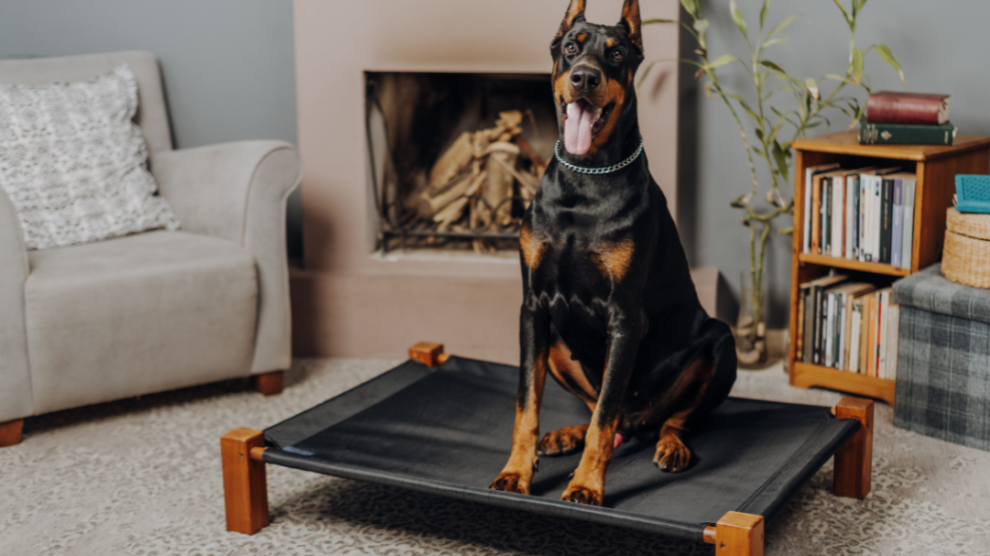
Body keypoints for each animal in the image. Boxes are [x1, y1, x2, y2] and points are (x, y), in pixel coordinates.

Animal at [488, 0, 736, 506]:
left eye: (617, 53)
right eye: (570, 47)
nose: (584, 77)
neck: (583, 181)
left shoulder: (624, 317)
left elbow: (604, 417)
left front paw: (586, 485)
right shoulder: (533, 309)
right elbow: (527, 404)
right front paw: (516, 471)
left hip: (721, 344)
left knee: (665, 418)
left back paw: (671, 446)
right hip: (557, 341)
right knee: (602, 410)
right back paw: (567, 435)